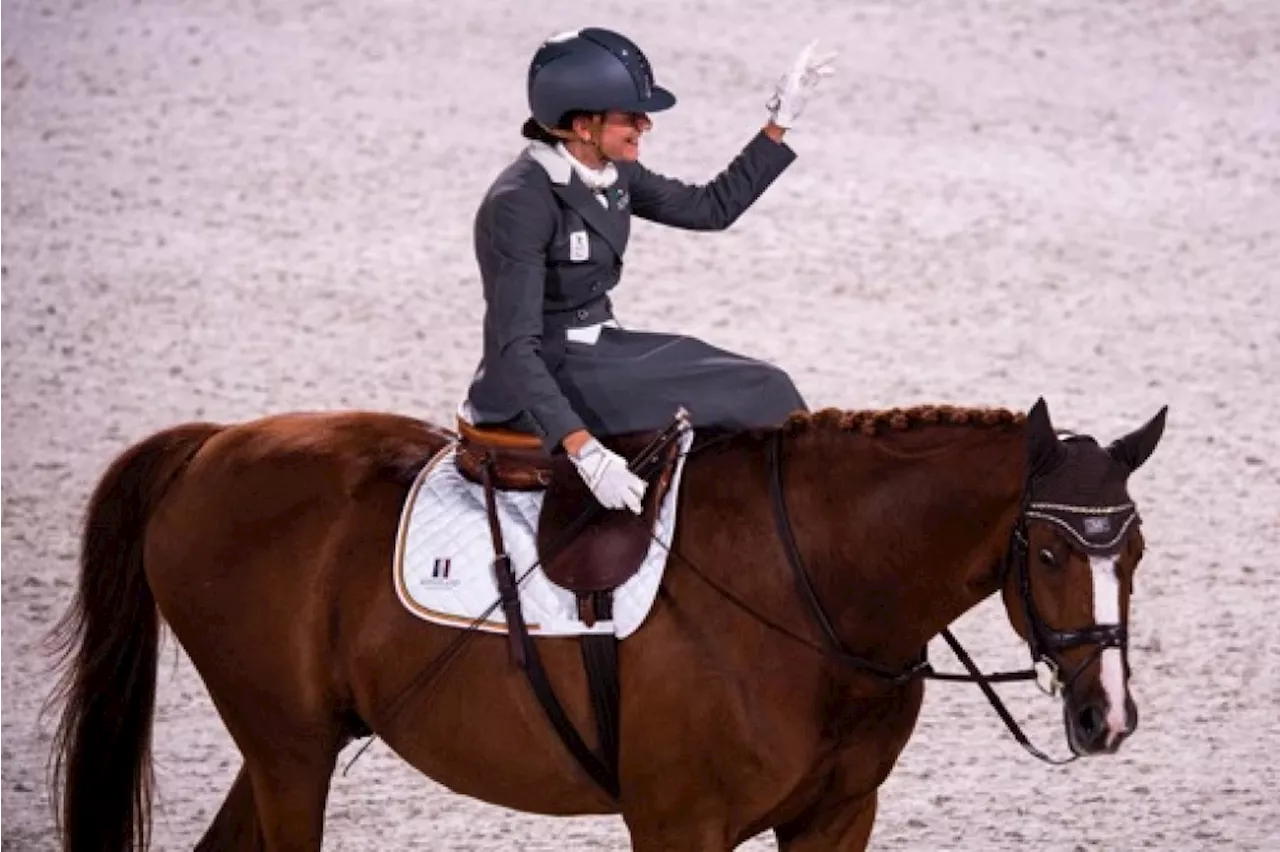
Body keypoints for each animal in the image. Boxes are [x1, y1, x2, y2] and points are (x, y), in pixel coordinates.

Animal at [47, 394, 1172, 844]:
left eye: (1135, 551)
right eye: (1048, 552)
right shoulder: (679, 826)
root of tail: (211, 446)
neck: (812, 591)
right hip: (288, 753)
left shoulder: (835, 819)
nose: (1105, 718)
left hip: (293, 746)